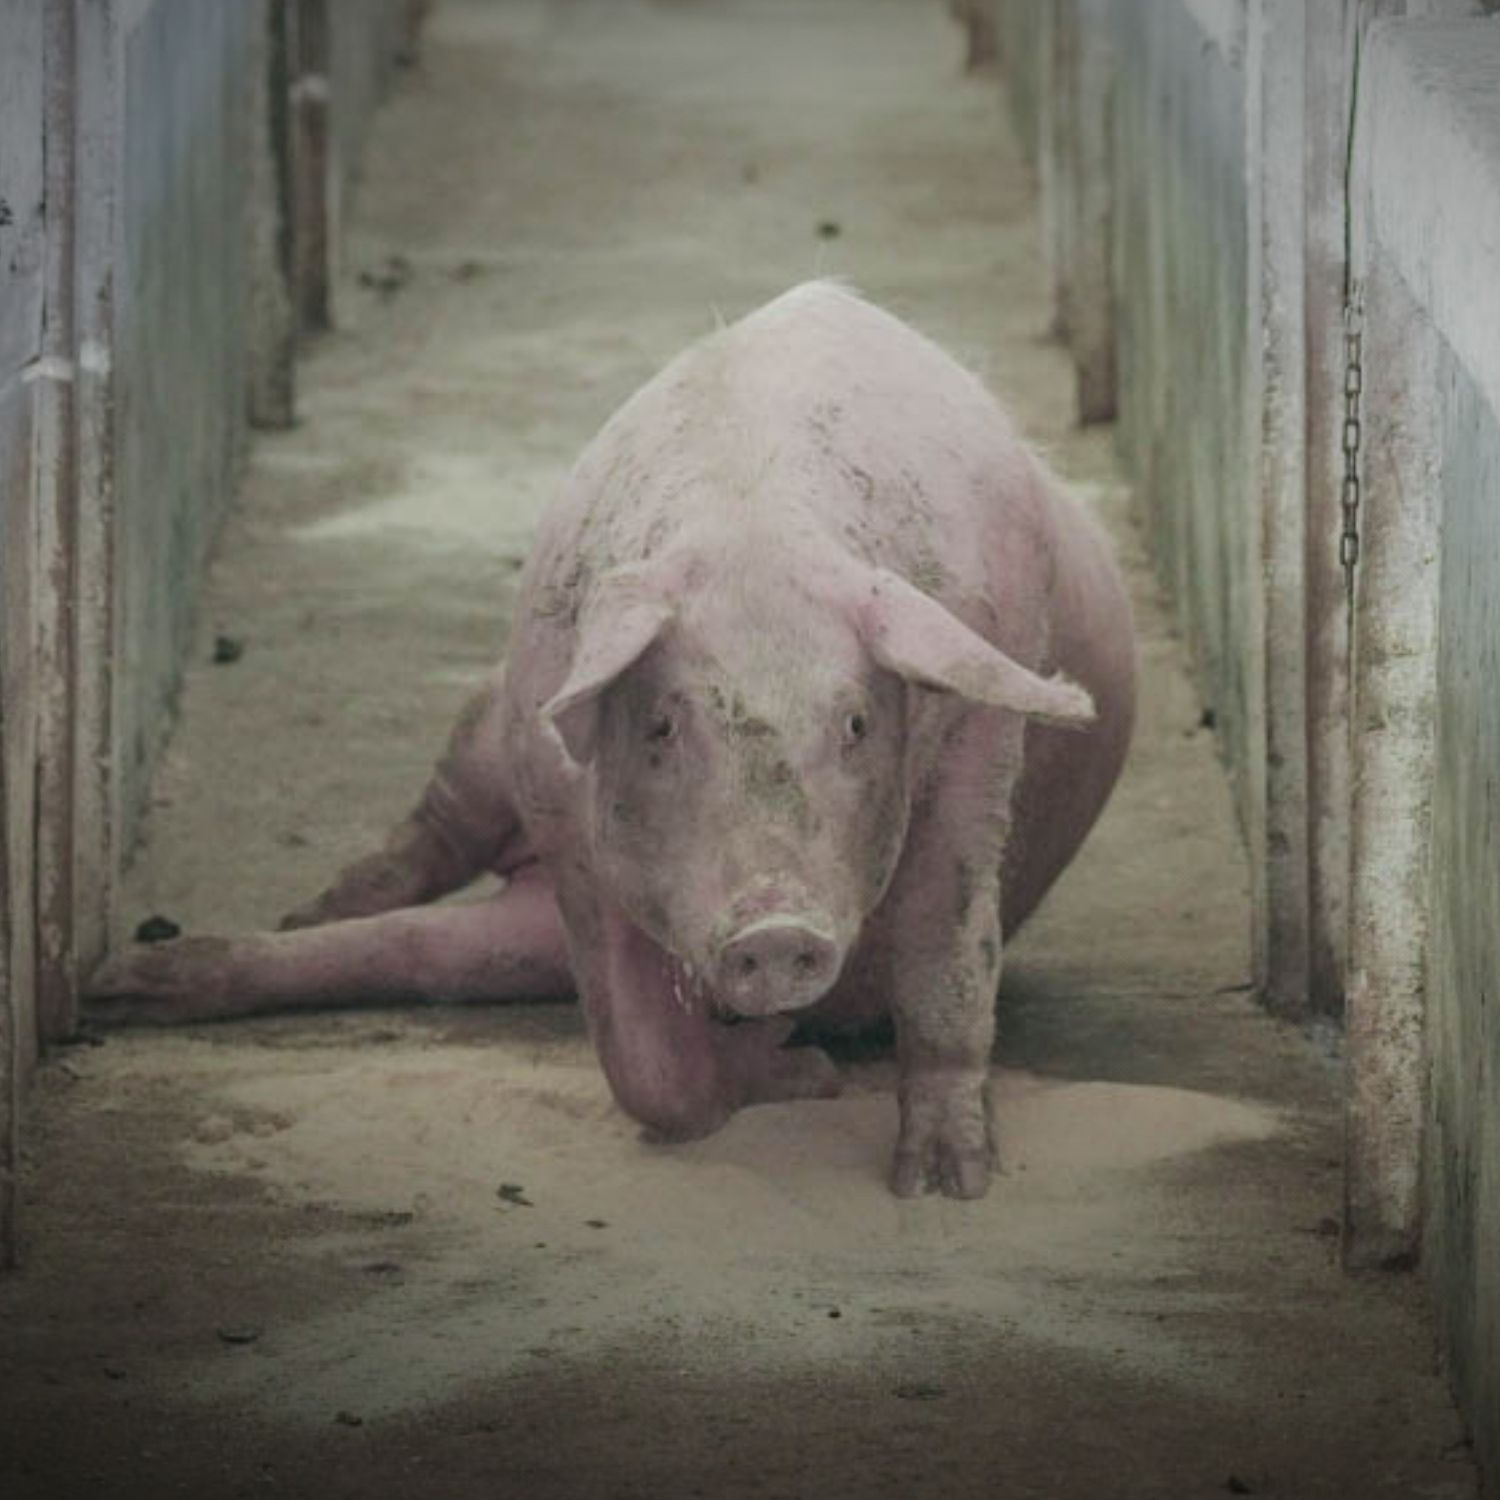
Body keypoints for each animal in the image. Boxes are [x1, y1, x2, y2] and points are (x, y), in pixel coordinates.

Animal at [87, 282, 1135, 1199]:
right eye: (665, 724)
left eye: (856, 723)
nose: (776, 933)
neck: (755, 529)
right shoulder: (565, 819)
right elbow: (644, 1068)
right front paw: (800, 1071)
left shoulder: (980, 733)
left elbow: (944, 952)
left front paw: (944, 1183)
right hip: (490, 726)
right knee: (422, 858)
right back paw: (233, 936)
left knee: (419, 951)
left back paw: (127, 982)